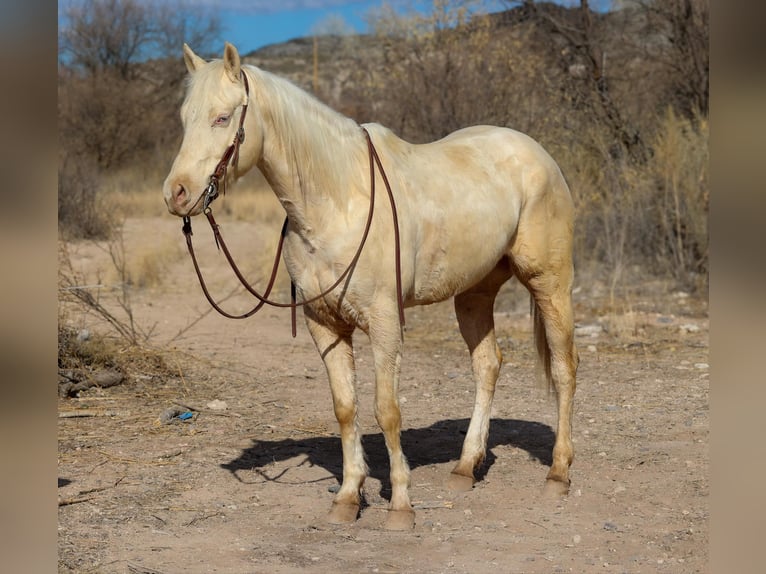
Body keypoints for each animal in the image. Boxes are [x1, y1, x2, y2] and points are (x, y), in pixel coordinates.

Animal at [163, 42, 579, 531]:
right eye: (185, 118)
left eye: (223, 118)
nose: (176, 194)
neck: (338, 201)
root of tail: (538, 153)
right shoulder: (324, 324)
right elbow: (346, 409)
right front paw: (348, 496)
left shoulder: (383, 323)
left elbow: (387, 410)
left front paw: (400, 505)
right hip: (474, 294)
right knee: (487, 366)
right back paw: (465, 467)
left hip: (549, 283)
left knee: (564, 369)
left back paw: (558, 474)